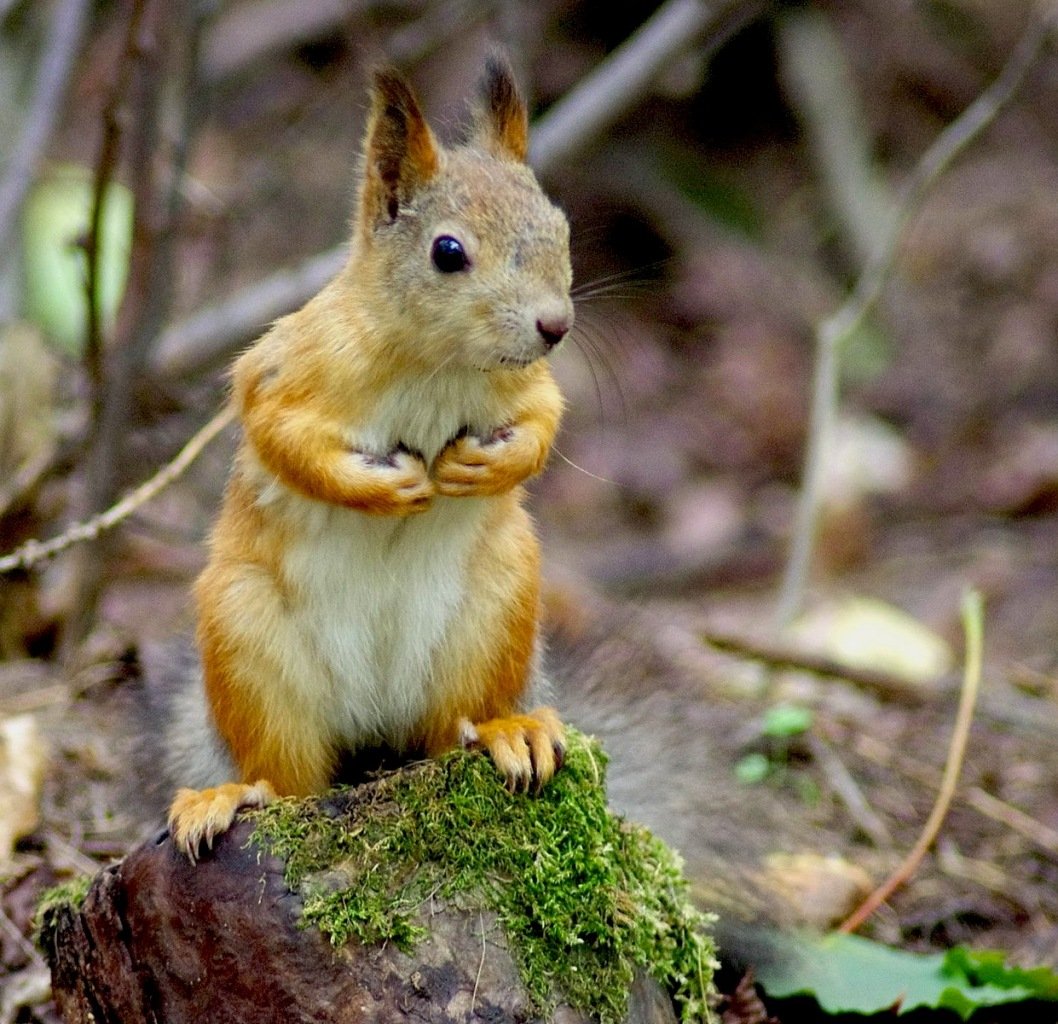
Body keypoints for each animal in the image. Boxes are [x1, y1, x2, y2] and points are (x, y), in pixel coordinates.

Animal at [165, 54, 574, 860]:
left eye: (561, 226)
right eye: (447, 252)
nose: (557, 325)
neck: (438, 364)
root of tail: (375, 722)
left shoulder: (528, 384)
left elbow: (545, 418)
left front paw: (490, 468)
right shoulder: (285, 369)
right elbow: (279, 434)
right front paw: (385, 489)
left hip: (497, 606)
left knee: (455, 726)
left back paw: (508, 730)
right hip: (248, 638)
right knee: (285, 777)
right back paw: (228, 794)